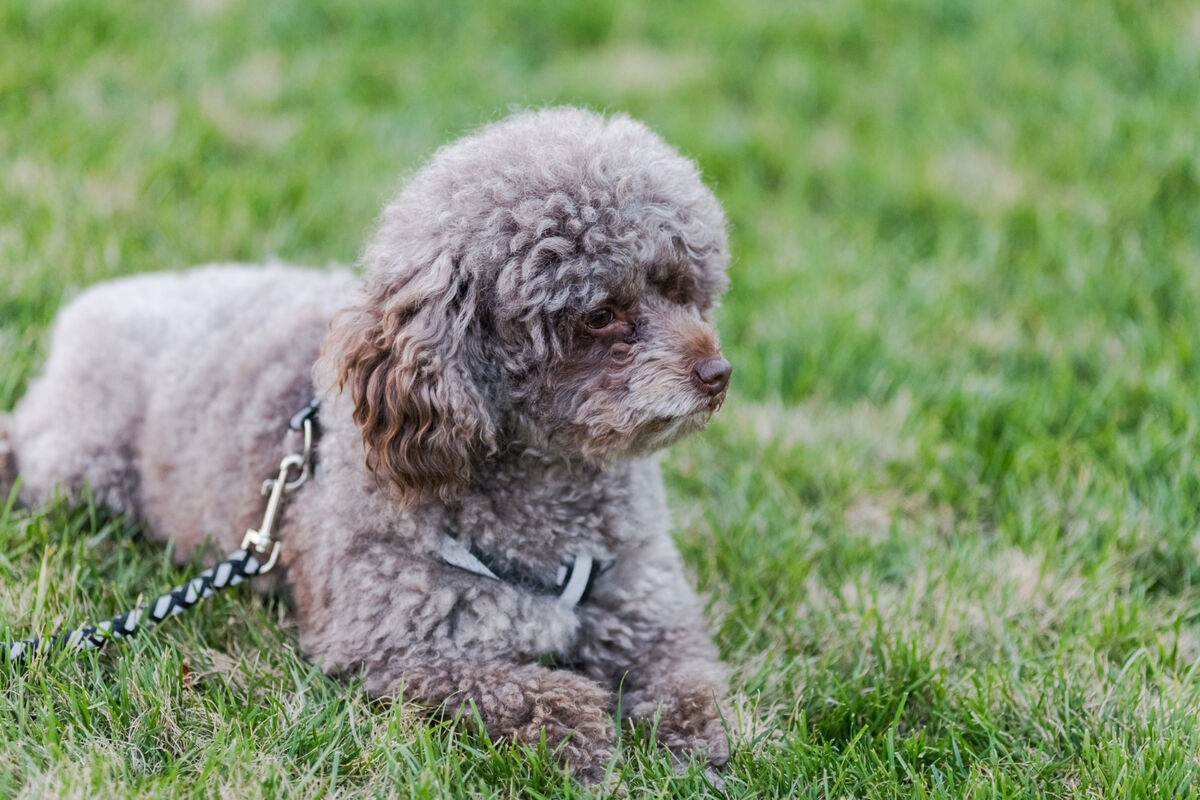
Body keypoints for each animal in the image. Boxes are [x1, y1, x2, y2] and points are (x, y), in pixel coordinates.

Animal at [0, 107, 729, 782]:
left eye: (682, 291)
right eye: (600, 315)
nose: (717, 374)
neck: (552, 490)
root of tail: (99, 302)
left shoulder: (646, 608)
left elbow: (685, 674)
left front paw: (695, 737)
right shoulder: (392, 644)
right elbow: (512, 689)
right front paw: (583, 729)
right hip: (79, 463)